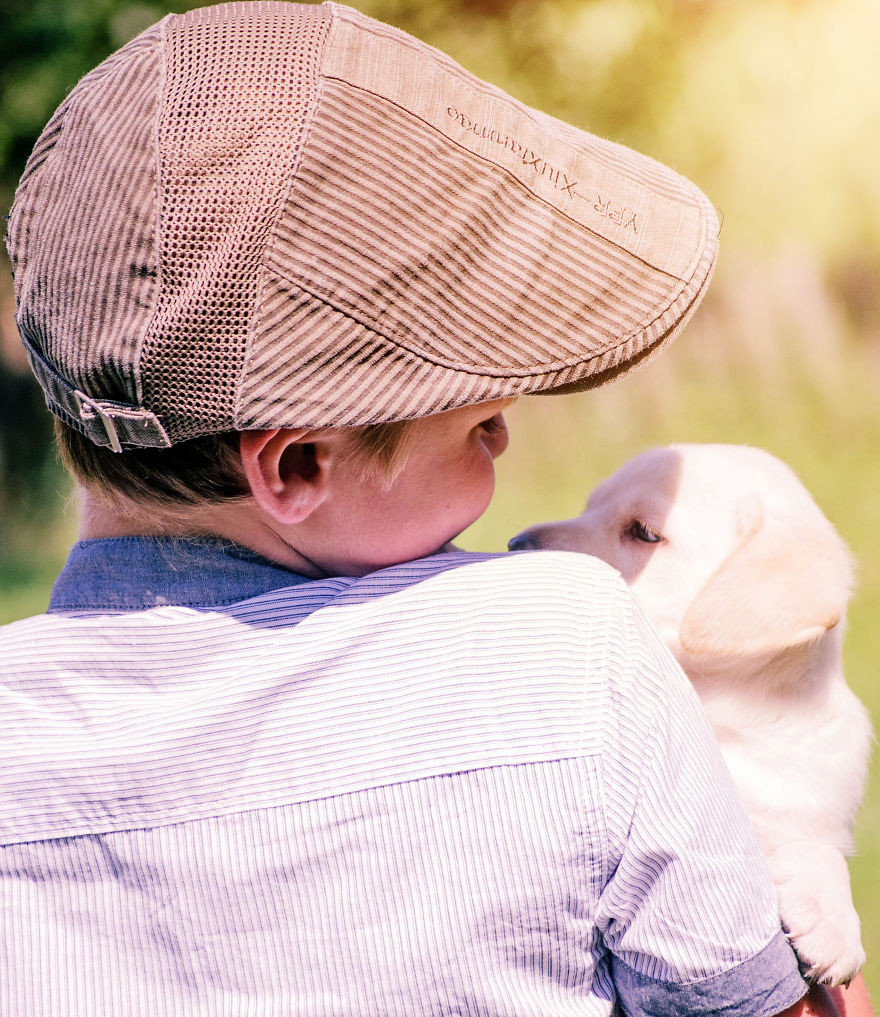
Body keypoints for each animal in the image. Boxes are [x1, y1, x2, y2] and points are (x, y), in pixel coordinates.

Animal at [508, 445, 870, 984]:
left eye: (644, 533)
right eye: (590, 505)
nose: (514, 545)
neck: (725, 710)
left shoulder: (806, 802)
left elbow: (814, 846)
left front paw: (834, 921)